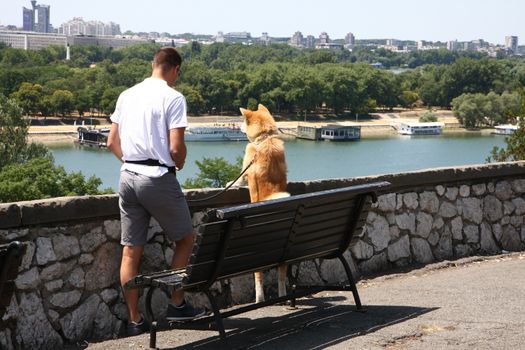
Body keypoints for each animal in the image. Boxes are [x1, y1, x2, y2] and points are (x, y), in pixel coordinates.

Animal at [238, 102, 290, 302]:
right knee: (282, 274)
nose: (237, 127)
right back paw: (284, 297)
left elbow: (238, 180)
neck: (264, 139)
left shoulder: (246, 169)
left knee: (258, 276)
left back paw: (259, 298)